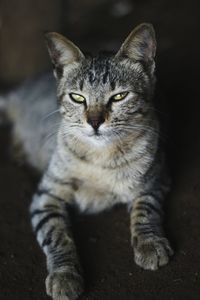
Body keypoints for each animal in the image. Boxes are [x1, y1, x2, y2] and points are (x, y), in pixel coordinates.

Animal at [0, 23, 173, 300]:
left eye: (119, 96)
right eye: (78, 98)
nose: (94, 122)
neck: (101, 158)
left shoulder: (157, 178)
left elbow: (146, 209)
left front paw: (149, 243)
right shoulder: (46, 195)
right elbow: (57, 234)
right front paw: (64, 275)